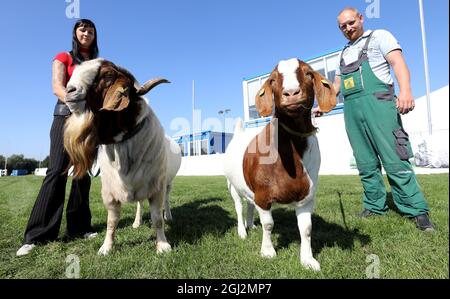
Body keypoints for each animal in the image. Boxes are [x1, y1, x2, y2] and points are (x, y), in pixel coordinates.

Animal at [63, 59, 176, 256]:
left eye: (108, 75)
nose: (70, 90)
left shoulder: (156, 188)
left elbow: (157, 218)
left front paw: (163, 245)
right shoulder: (110, 193)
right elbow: (111, 222)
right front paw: (106, 248)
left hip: (166, 183)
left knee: (166, 201)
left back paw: (168, 216)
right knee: (139, 204)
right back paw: (137, 222)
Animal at [223, 58, 336, 272]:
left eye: (308, 73)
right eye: (273, 79)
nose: (291, 93)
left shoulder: (306, 197)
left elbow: (306, 228)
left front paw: (308, 260)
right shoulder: (263, 194)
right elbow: (268, 224)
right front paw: (268, 251)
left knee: (249, 204)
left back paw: (251, 225)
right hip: (232, 185)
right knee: (239, 206)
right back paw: (242, 231)